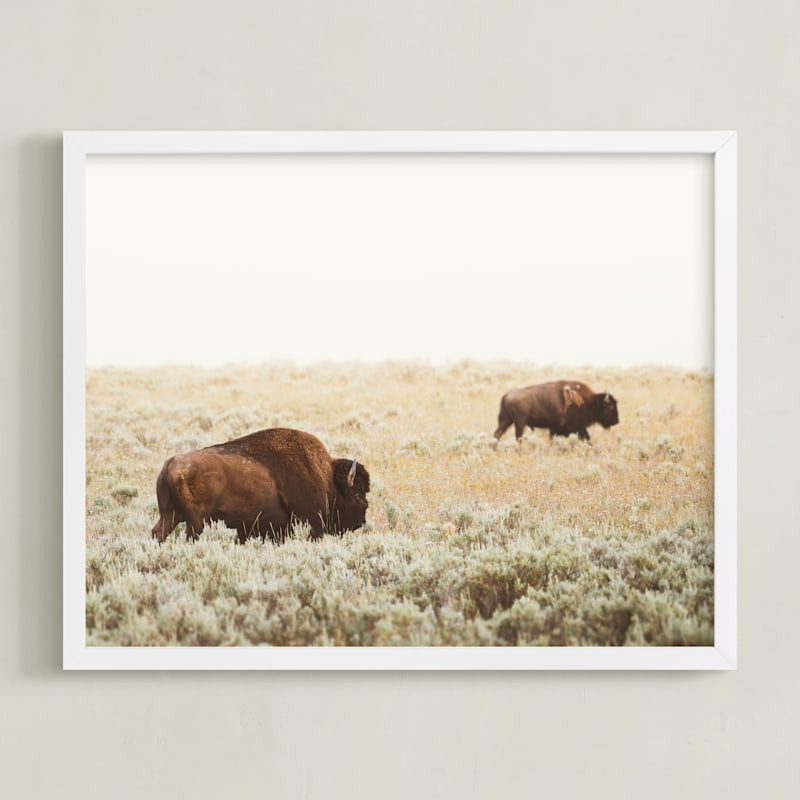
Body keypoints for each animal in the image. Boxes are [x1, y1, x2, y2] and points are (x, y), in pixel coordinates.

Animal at [151, 427, 370, 543]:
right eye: (357, 493)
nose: (361, 521)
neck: (327, 479)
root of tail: (170, 464)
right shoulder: (310, 524)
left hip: (170, 515)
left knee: (157, 533)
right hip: (196, 521)